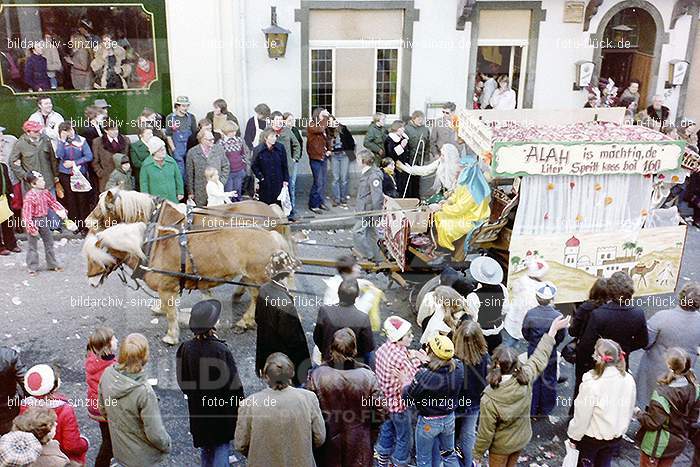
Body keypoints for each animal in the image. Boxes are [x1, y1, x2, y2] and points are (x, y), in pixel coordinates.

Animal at [83, 221, 294, 346]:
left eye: (95, 258)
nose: (91, 282)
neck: (152, 249)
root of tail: (270, 235)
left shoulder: (167, 289)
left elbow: (171, 315)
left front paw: (171, 336)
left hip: (257, 276)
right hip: (251, 277)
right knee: (256, 296)